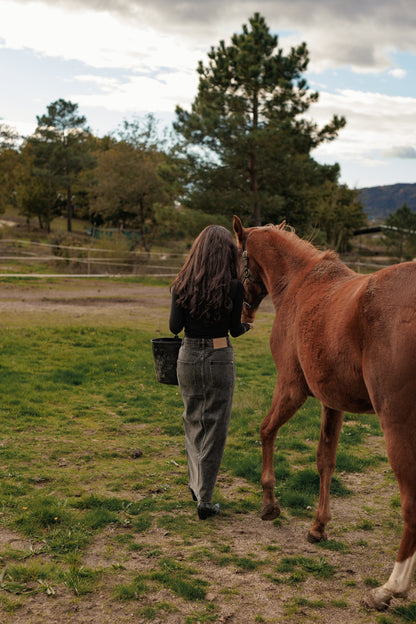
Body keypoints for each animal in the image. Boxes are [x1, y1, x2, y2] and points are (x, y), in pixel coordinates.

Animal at [234, 214, 416, 608]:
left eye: (236, 260)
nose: (242, 318)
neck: (299, 283)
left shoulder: (290, 387)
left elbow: (266, 430)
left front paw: (269, 503)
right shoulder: (332, 403)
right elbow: (325, 460)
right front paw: (318, 526)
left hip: (398, 429)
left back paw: (389, 588)